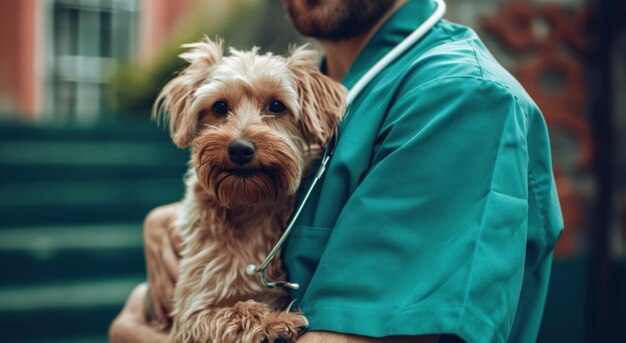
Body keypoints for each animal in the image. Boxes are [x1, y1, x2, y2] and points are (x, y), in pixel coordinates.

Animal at [153, 36, 344, 342]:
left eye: (277, 105)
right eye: (219, 107)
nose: (240, 149)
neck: (249, 204)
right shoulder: (190, 315)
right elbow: (235, 311)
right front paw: (273, 322)